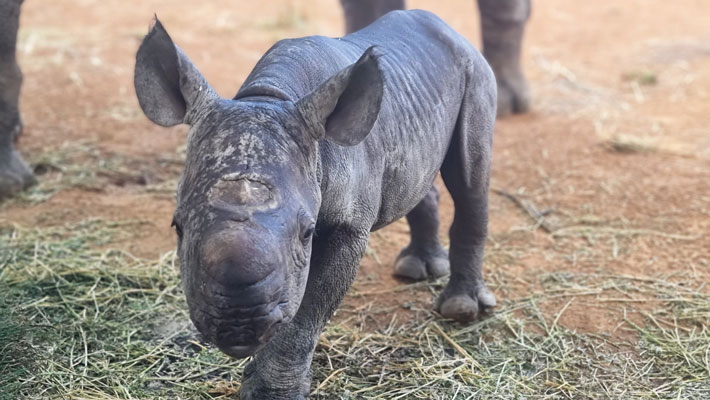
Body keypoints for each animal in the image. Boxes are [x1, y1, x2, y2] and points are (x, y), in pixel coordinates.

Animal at [135, 9, 500, 400]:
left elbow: (307, 310)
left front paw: (272, 392)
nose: (238, 327)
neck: (271, 97)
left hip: (474, 72)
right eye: (177, 227)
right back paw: (417, 269)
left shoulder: (348, 227)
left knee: (469, 178)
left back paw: (460, 309)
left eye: (307, 232)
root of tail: (451, 31)